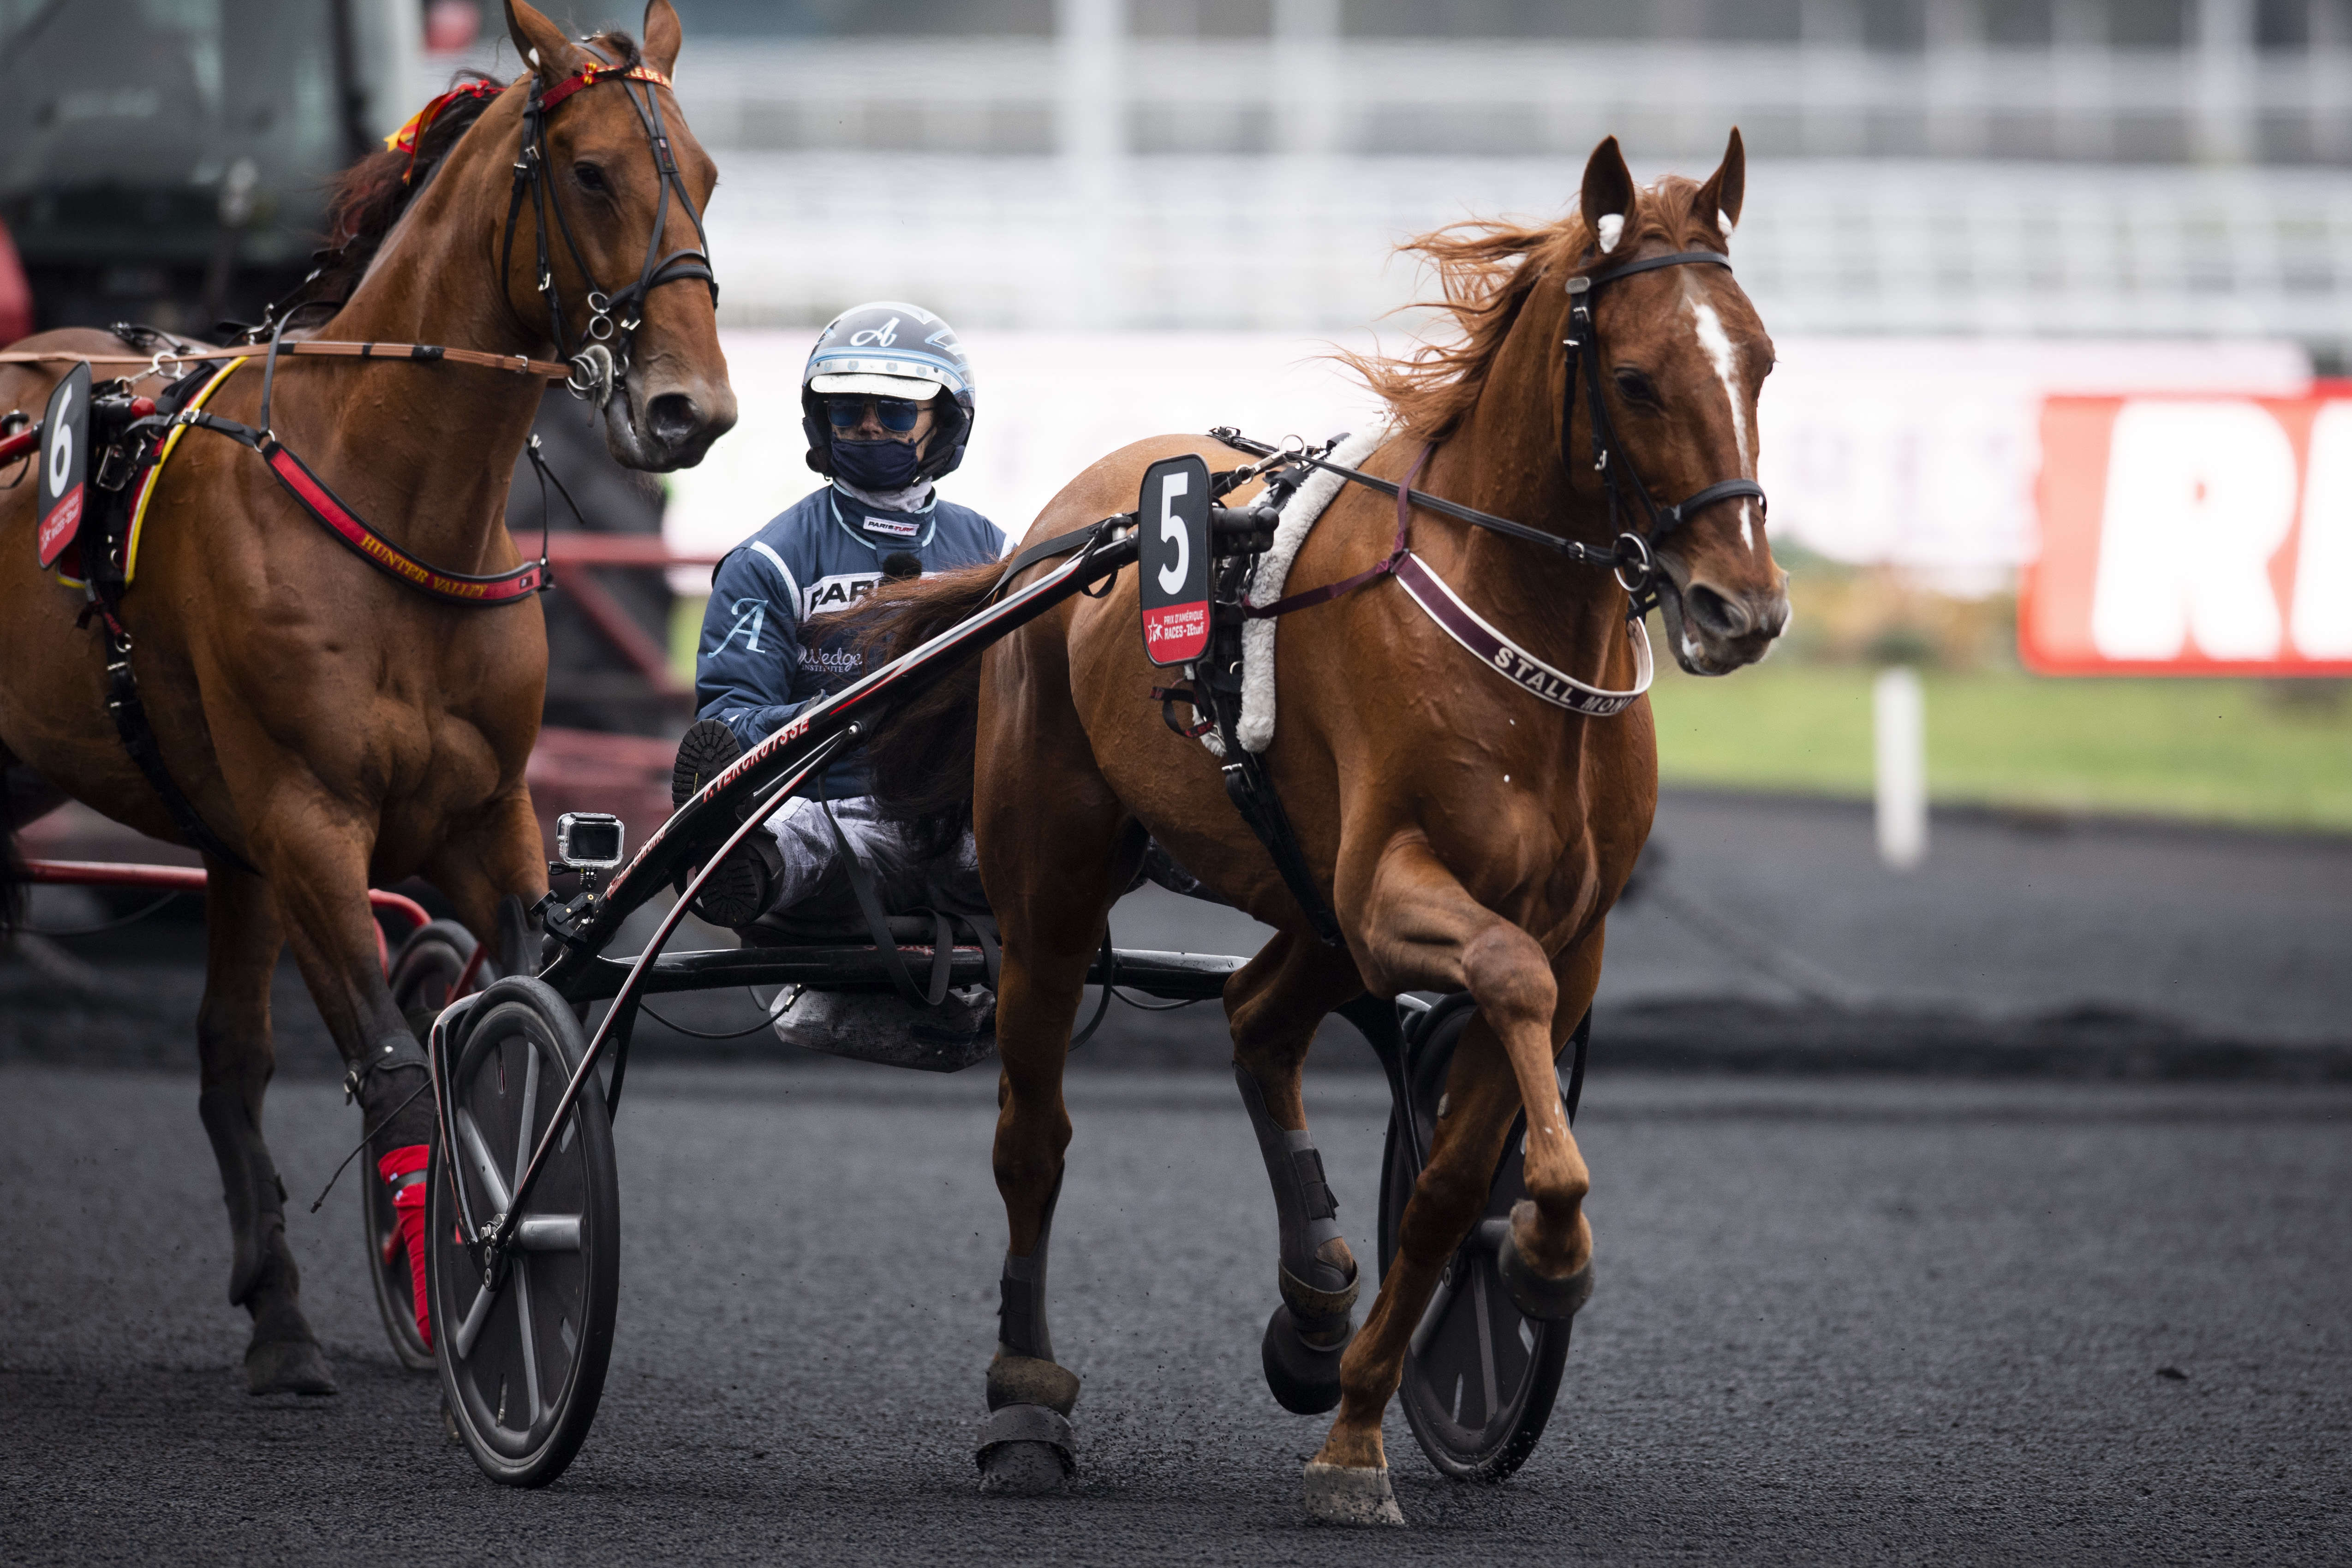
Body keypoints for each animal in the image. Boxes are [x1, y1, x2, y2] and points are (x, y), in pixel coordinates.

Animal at [0, 0, 734, 1401]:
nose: (694, 410)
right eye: (591, 172)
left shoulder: (484, 819)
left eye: (712, 176)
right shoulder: (306, 822)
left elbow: (502, 1036)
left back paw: (279, 1313)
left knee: (229, 1055)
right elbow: (397, 1069)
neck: (389, 501)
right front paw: (453, 1274)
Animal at [847, 131, 1778, 1523]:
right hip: (1056, 877)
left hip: (1300, 891)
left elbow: (1452, 1181)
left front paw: (1363, 1410)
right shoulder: (1394, 888)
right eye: (1633, 377)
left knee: (1255, 1019)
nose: (1743, 607)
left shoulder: (1574, 930)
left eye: (1760, 360)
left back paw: (1313, 1302)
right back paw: (1025, 1394)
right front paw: (1547, 1251)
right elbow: (1502, 985)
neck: (1517, 638)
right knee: (1034, 1133)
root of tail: (1057, 530)